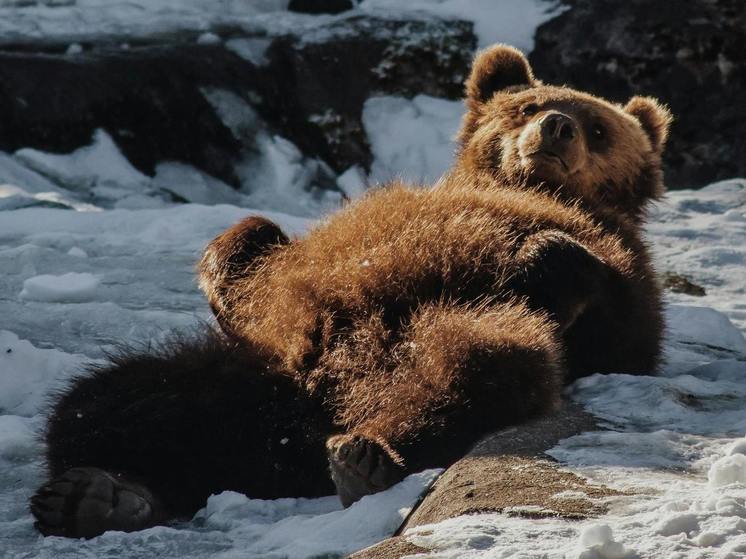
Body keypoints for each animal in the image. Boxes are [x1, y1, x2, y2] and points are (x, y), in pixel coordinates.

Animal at [29, 46, 668, 540]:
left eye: (600, 128)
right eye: (526, 106)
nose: (557, 125)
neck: (526, 188)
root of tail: (302, 422)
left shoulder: (620, 273)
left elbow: (605, 314)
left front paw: (539, 260)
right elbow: (258, 247)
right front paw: (230, 267)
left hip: (440, 337)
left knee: (480, 364)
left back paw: (366, 456)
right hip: (242, 377)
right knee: (105, 402)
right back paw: (97, 494)